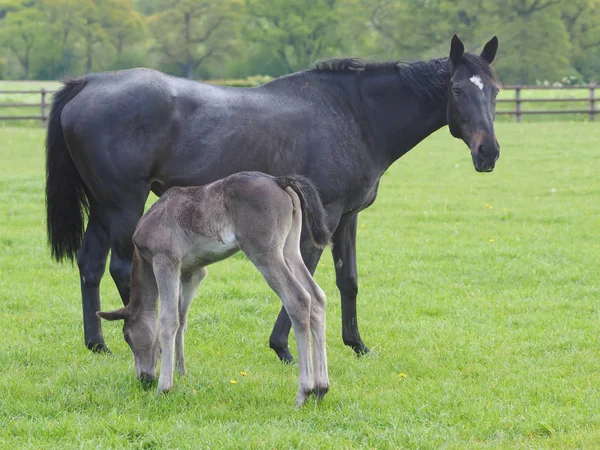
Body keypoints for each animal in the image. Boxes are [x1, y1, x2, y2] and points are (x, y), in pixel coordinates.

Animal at [45, 34, 502, 362]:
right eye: (457, 89)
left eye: (495, 91)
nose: (489, 153)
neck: (355, 115)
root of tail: (88, 83)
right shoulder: (323, 215)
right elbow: (306, 277)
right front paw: (283, 346)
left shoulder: (348, 217)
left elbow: (348, 280)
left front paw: (357, 344)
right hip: (124, 205)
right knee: (123, 268)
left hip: (103, 208)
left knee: (90, 265)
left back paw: (98, 344)